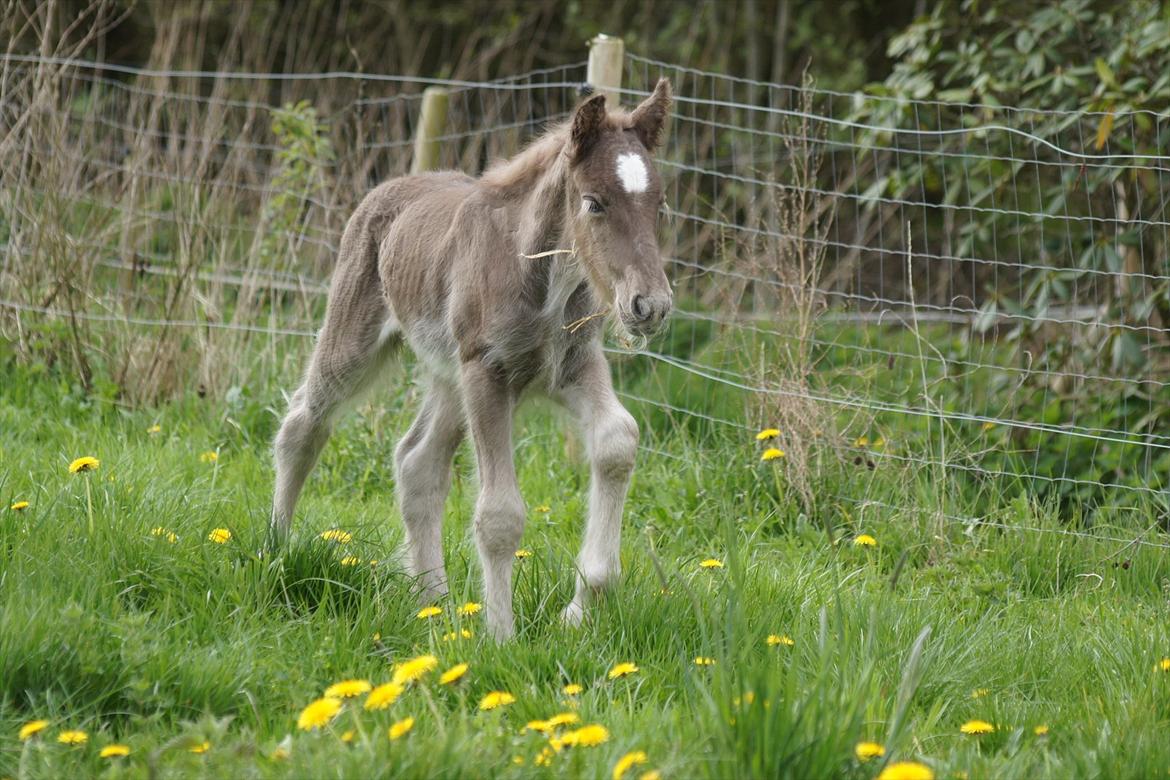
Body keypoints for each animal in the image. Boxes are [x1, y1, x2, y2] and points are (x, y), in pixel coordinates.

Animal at [272, 79, 673, 640]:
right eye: (594, 203)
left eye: (660, 203)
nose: (649, 306)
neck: (541, 275)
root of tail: (387, 188)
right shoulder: (488, 371)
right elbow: (500, 514)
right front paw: (501, 638)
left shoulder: (572, 366)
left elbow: (618, 440)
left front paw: (580, 606)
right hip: (357, 339)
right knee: (304, 423)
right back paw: (275, 550)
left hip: (448, 376)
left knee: (417, 463)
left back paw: (433, 603)